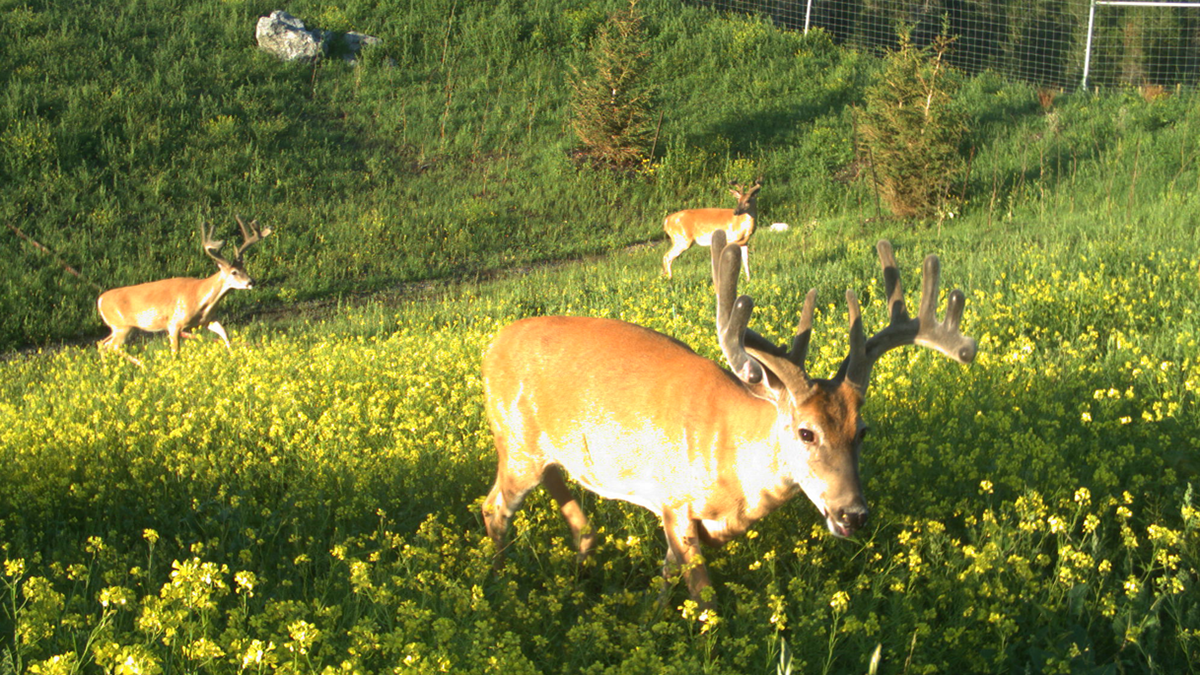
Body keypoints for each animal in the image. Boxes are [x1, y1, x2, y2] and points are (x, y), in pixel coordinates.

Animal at [97, 217, 272, 362]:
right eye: (234, 272)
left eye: (245, 268)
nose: (251, 281)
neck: (200, 297)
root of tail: (100, 300)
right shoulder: (174, 323)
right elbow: (176, 352)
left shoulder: (207, 319)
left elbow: (225, 334)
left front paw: (233, 355)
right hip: (122, 326)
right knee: (112, 346)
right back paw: (142, 365)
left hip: (119, 327)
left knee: (101, 344)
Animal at [482, 230, 976, 605]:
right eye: (806, 432)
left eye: (863, 431)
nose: (852, 513)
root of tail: (491, 348)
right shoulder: (675, 499)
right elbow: (705, 597)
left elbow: (669, 575)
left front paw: (652, 619)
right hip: (516, 443)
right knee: (494, 506)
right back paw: (497, 584)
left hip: (547, 452)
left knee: (570, 505)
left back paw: (578, 571)